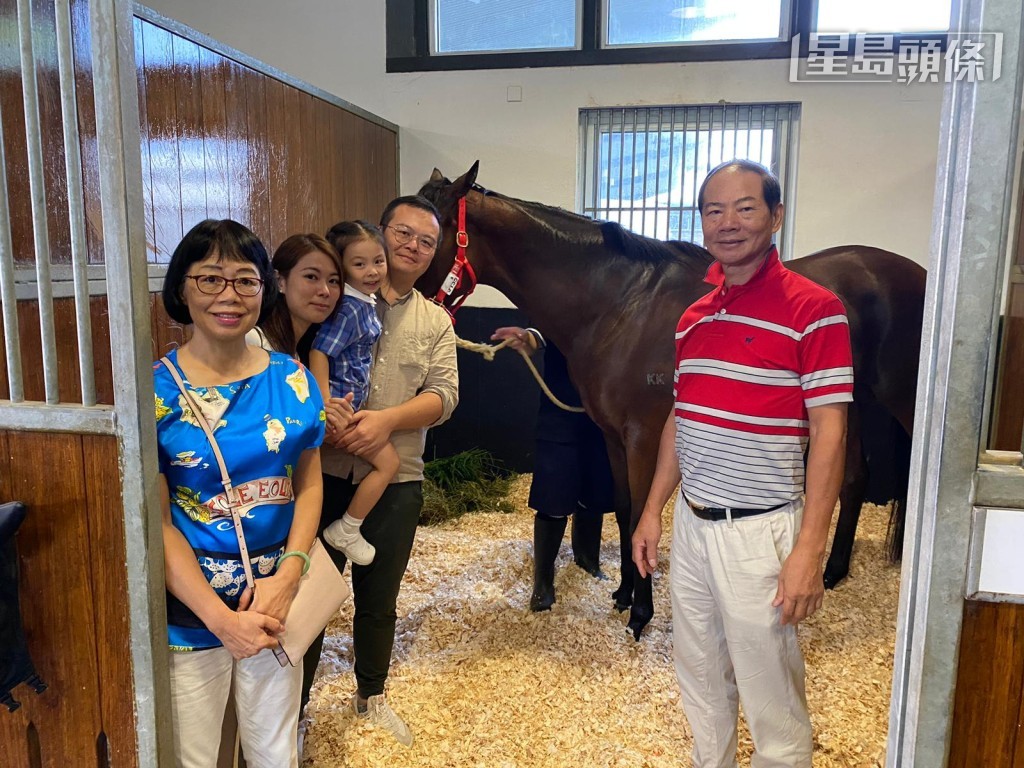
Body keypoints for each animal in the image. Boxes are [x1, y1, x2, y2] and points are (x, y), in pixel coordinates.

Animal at [416, 162, 924, 639]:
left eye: (431, 233)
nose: (404, 300)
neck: (619, 304)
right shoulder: (613, 437)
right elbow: (625, 510)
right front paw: (624, 593)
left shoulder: (644, 436)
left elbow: (643, 511)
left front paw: (641, 613)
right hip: (845, 405)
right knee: (854, 477)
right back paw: (832, 573)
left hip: (901, 400)